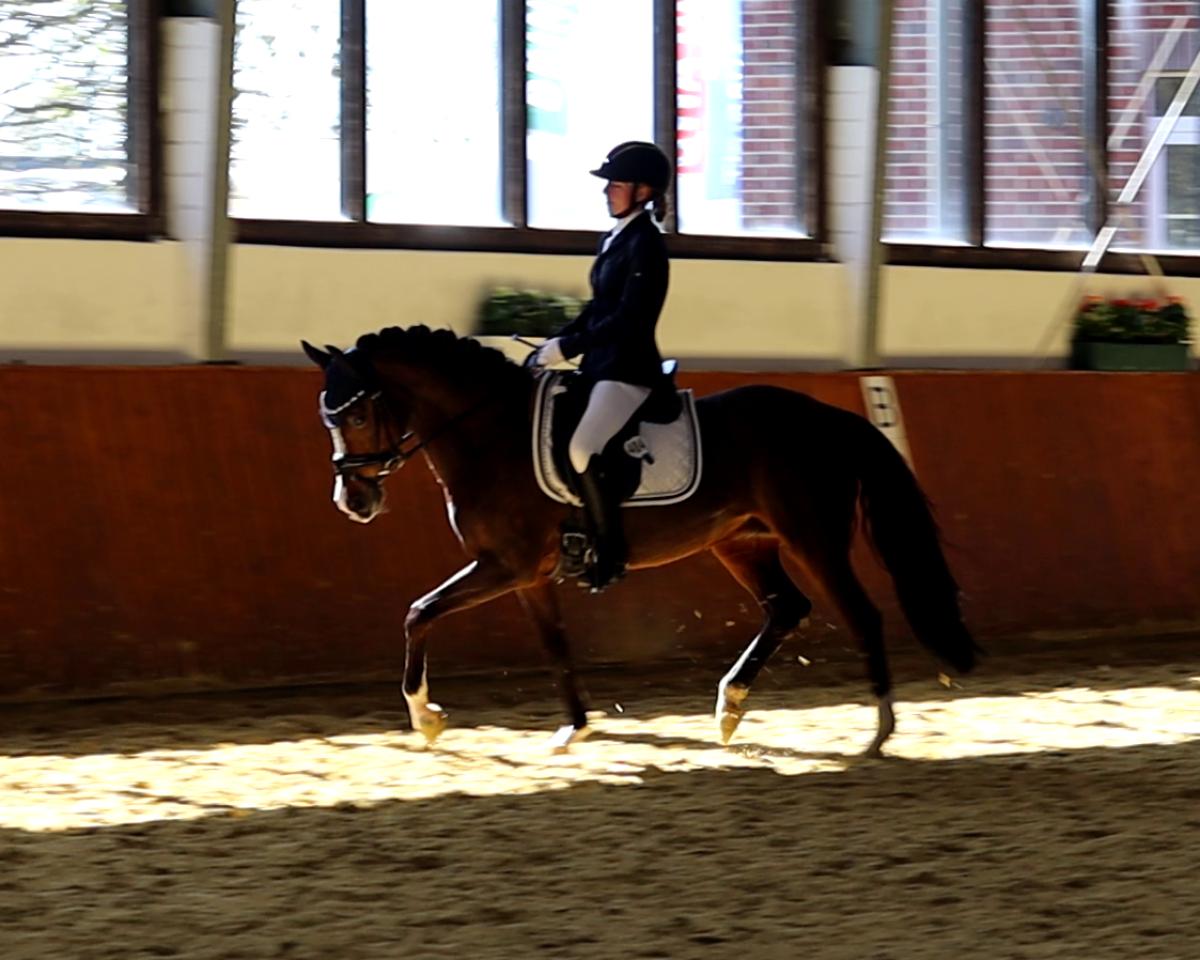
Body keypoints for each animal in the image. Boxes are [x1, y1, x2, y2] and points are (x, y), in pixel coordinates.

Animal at [301, 326, 979, 757]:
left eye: (356, 413)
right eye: (327, 417)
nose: (353, 502)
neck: (490, 435)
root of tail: (827, 417)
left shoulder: (504, 565)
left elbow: (419, 612)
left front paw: (427, 719)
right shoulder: (529, 574)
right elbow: (554, 645)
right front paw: (574, 728)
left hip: (813, 539)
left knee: (859, 613)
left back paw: (879, 733)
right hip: (742, 541)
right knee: (786, 607)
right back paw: (730, 708)